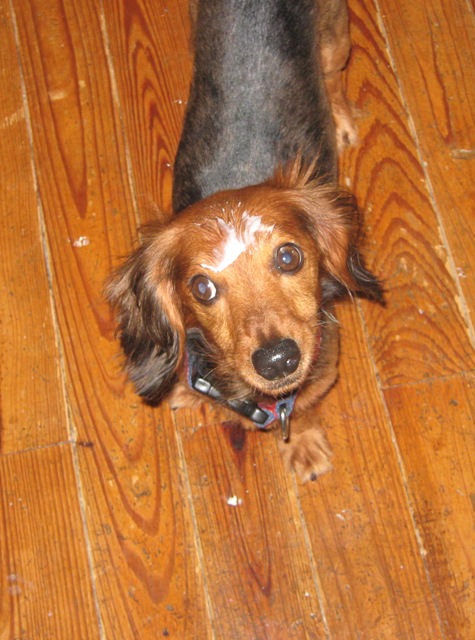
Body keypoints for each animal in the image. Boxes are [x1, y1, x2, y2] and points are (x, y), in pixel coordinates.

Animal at [107, 0, 383, 482]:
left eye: (289, 257)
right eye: (201, 288)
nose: (277, 360)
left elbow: (302, 406)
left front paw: (303, 443)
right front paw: (188, 390)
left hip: (336, 40)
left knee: (333, 76)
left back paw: (341, 120)